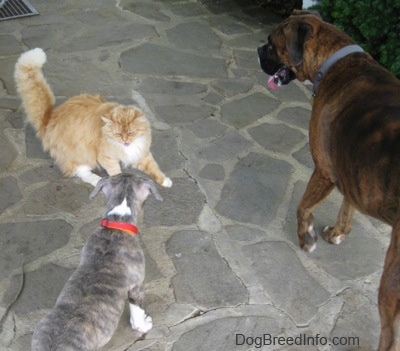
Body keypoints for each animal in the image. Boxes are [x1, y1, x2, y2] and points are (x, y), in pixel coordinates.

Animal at [14, 48, 172, 188]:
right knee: (81, 171)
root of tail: (50, 116)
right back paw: (97, 180)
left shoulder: (141, 153)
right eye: (118, 134)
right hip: (80, 153)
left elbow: (154, 168)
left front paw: (165, 181)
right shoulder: (106, 158)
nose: (125, 141)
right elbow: (116, 173)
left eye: (131, 133)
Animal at [260, 11, 400, 351]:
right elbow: (347, 207)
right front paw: (338, 232)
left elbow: (302, 205)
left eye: (271, 44)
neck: (334, 60)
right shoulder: (350, 169)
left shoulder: (324, 170)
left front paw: (306, 238)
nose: (257, 51)